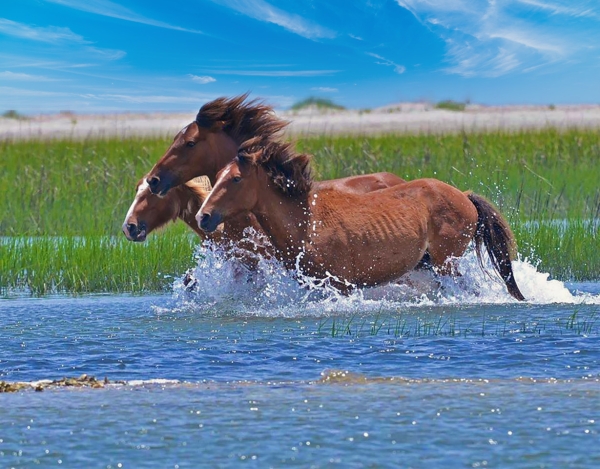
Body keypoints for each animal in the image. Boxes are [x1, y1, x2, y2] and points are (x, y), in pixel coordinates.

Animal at [198, 138, 524, 300]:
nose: (204, 217)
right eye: (219, 175)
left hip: (447, 264)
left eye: (236, 179)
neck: (306, 222)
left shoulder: (341, 285)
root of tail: (464, 196)